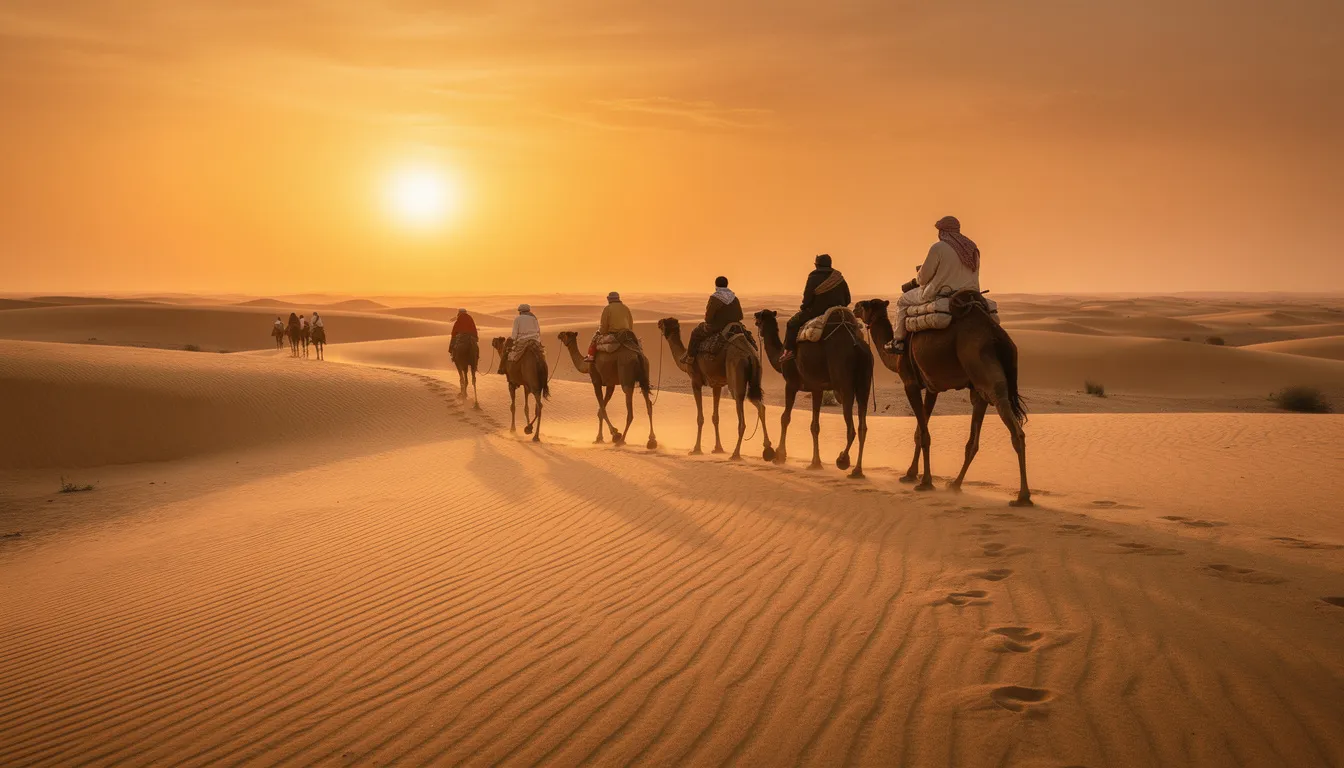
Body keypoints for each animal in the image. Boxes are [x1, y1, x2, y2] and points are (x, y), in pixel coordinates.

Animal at [655, 318, 773, 460]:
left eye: (665, 322)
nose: (658, 322)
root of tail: (750, 355)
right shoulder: (716, 385)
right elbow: (715, 417)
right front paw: (718, 448)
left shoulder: (695, 381)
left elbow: (700, 418)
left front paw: (696, 449)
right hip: (755, 377)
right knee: (760, 406)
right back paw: (769, 449)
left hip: (735, 375)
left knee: (741, 415)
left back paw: (735, 454)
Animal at [754, 308, 873, 478]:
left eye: (759, 319)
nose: (756, 323)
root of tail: (858, 347)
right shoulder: (817, 388)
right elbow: (815, 426)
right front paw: (815, 463)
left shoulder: (791, 384)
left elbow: (785, 418)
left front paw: (779, 456)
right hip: (865, 383)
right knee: (863, 426)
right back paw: (857, 470)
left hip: (845, 384)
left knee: (851, 428)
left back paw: (842, 459)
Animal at [854, 295, 1031, 506]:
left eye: (867, 304)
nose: (855, 306)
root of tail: (1000, 339)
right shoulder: (932, 387)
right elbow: (919, 432)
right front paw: (910, 474)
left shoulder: (910, 383)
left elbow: (924, 433)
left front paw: (925, 482)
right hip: (979, 387)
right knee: (974, 439)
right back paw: (955, 485)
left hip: (985, 373)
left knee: (1015, 430)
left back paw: (1022, 497)